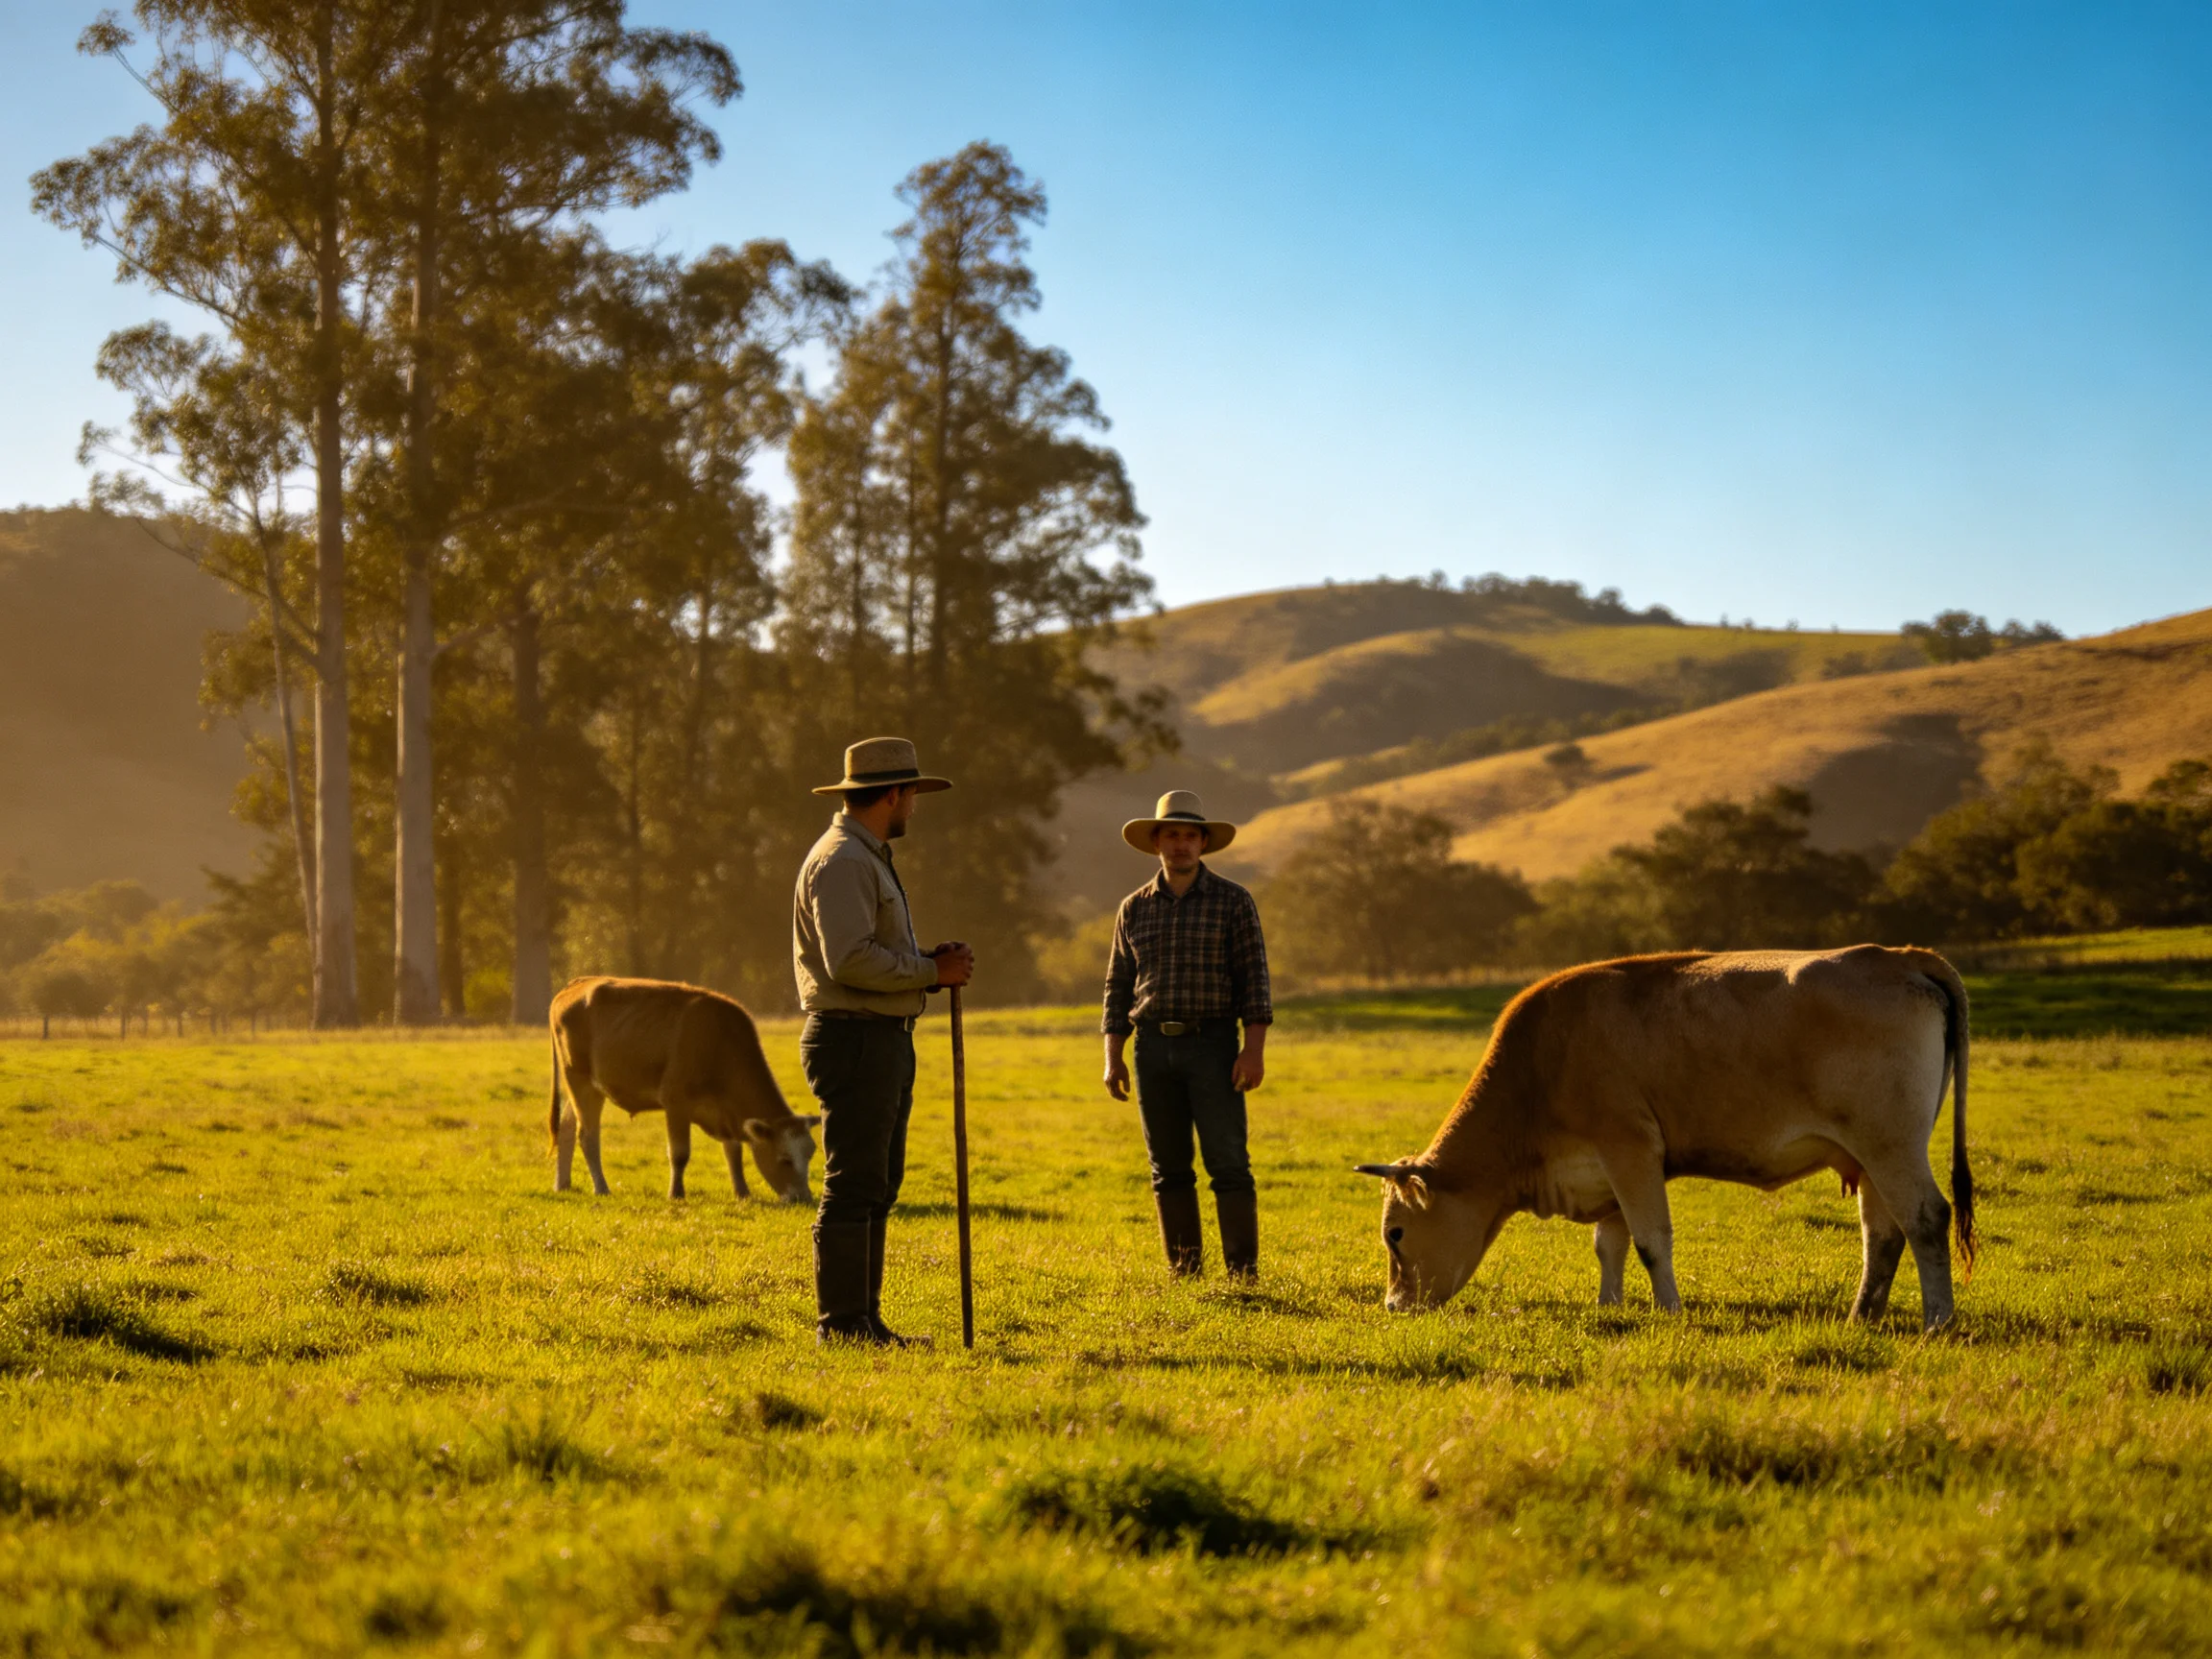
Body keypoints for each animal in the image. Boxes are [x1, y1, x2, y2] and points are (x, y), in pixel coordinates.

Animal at [547, 976, 821, 1203]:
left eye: (810, 1154)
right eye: (785, 1159)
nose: (803, 1198)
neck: (719, 1042)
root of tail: (577, 984)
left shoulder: (725, 1112)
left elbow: (734, 1152)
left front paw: (742, 1192)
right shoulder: (676, 1102)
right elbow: (680, 1154)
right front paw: (676, 1193)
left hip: (586, 1088)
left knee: (567, 1128)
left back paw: (563, 1184)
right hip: (580, 1081)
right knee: (588, 1135)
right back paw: (601, 1187)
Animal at [1355, 946, 1975, 1332]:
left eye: (1395, 1234)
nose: (1393, 1305)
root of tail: (1897, 955)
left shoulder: (1629, 1148)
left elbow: (1651, 1240)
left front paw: (1669, 1311)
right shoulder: (1608, 1167)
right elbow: (1609, 1244)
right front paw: (1609, 1308)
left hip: (1891, 1146)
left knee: (1926, 1218)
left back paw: (1938, 1319)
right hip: (1869, 1157)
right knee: (1883, 1234)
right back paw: (1860, 1317)